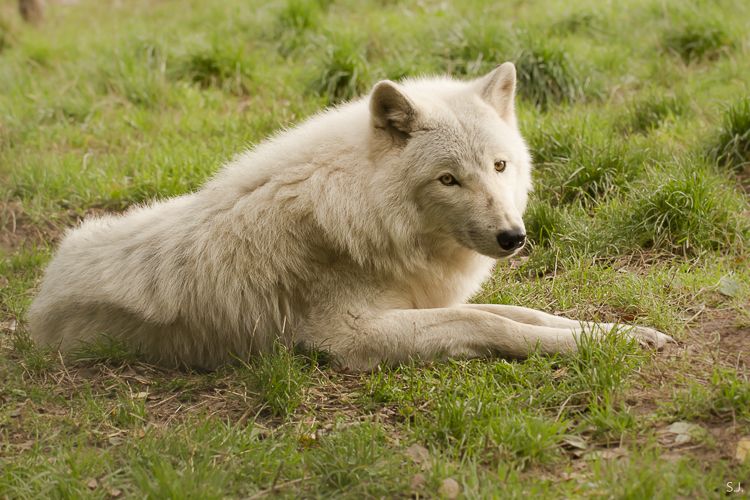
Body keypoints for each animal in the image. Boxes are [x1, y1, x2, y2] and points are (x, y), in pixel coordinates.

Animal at [29, 63, 676, 372]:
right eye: (449, 179)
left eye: (499, 166)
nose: (512, 237)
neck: (363, 206)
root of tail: (39, 296)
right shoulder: (351, 335)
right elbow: (487, 322)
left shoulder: (422, 299)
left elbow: (526, 313)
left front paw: (625, 335)